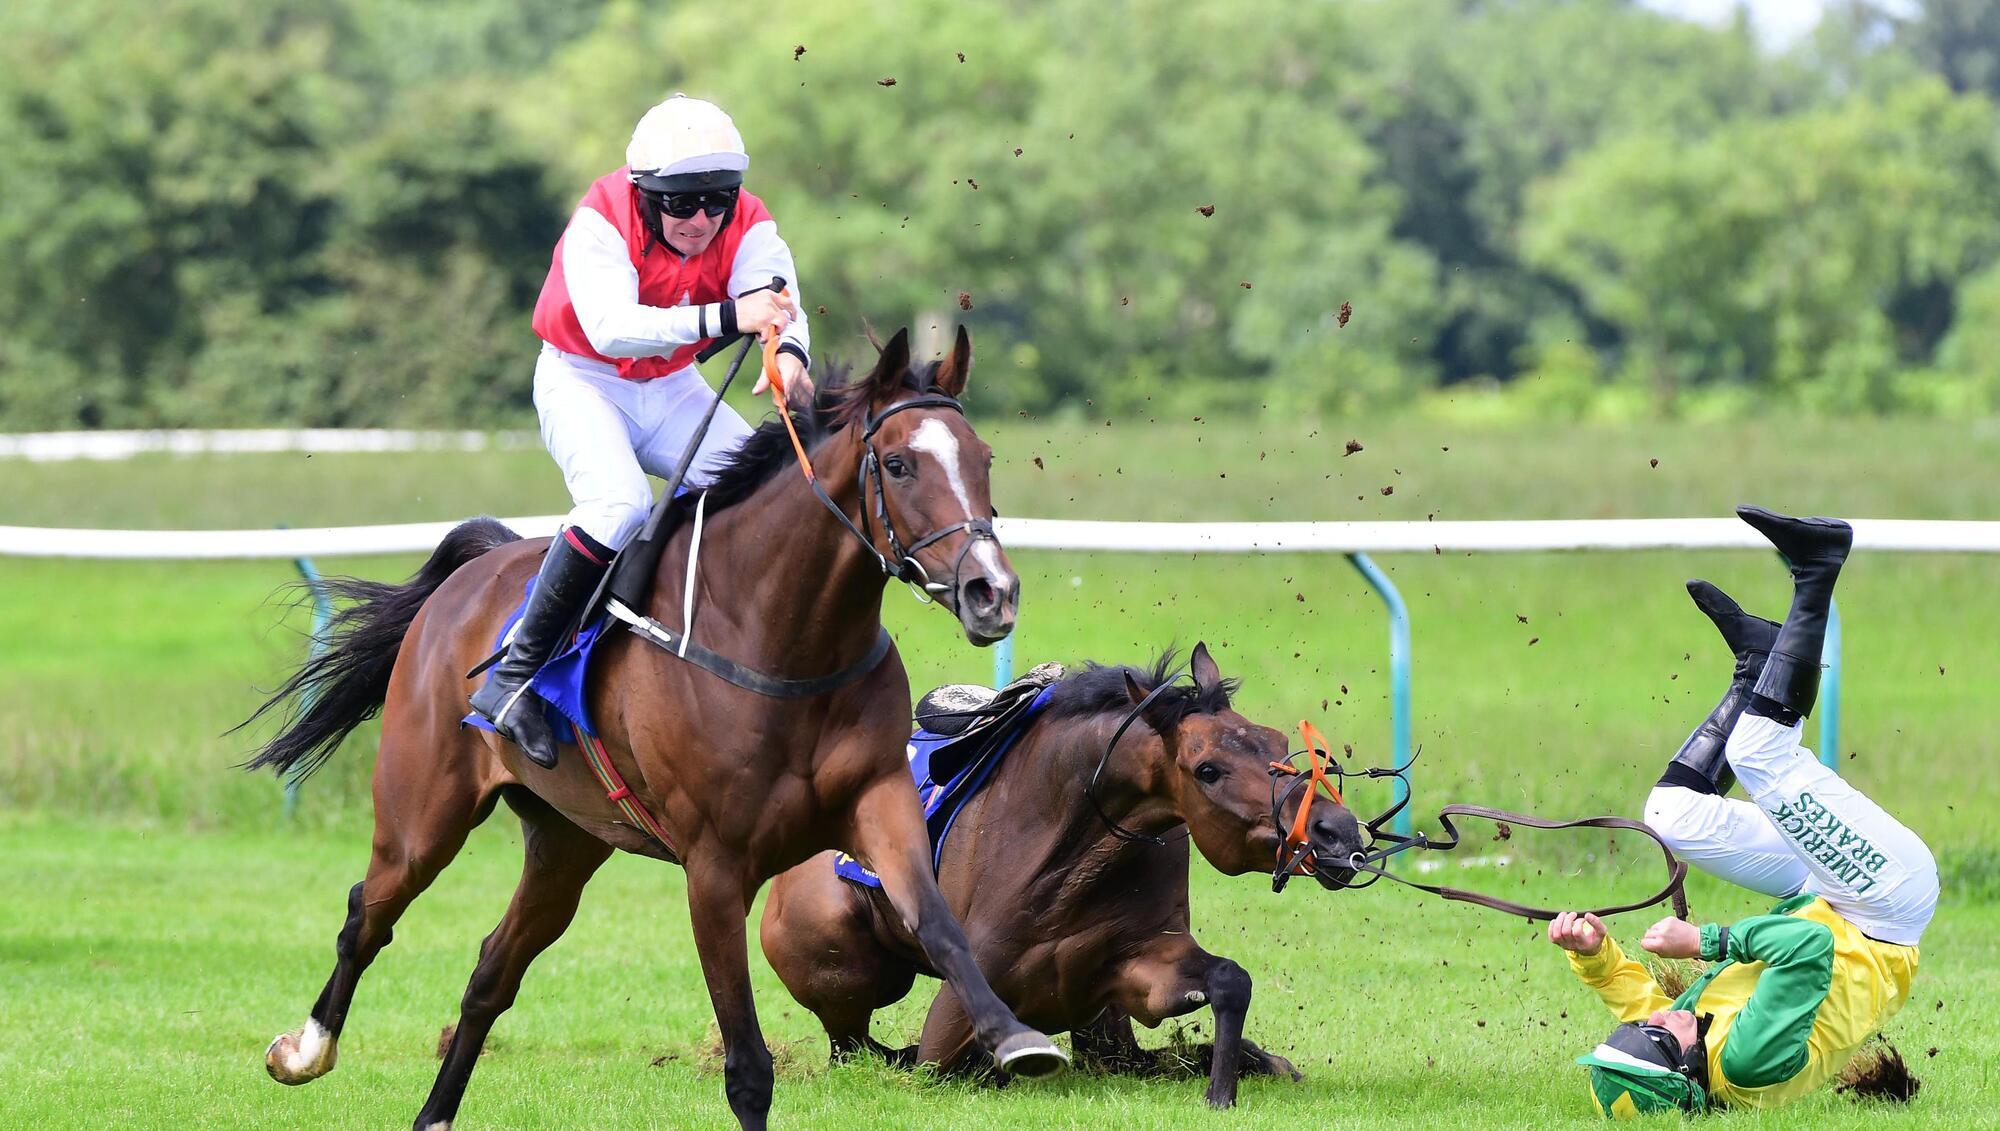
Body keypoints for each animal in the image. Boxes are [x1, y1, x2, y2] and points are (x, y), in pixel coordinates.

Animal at [240, 328, 1068, 1131]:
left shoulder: (880, 803)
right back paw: (303, 1050)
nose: (992, 591)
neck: (784, 637)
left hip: (566, 841)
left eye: (983, 458)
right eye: (898, 463)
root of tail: (474, 572)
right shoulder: (714, 866)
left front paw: (1014, 1035)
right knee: (367, 912)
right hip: (424, 812)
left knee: (491, 969)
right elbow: (747, 1064)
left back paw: (435, 1113)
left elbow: (938, 922)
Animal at [758, 642, 1368, 1108]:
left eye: (1279, 743)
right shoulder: (953, 1027)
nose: (1338, 832)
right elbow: (952, 1062)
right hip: (853, 971)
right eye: (1208, 770)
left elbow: (1227, 981)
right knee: (855, 1047)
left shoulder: (1137, 969)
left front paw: (1222, 1086)